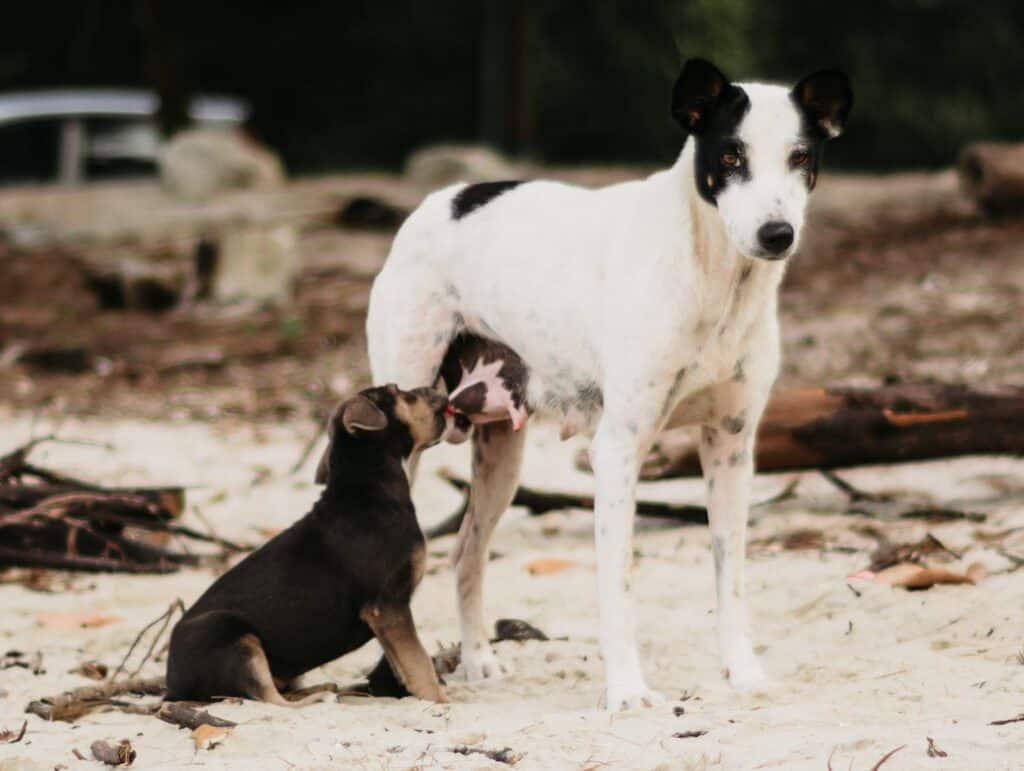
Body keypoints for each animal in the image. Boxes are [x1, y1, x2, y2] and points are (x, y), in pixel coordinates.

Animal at [166, 384, 448, 704]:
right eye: (399, 392)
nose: (432, 388)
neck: (369, 486)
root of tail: (172, 686)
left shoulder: (388, 614)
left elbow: (403, 663)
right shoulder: (388, 605)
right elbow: (419, 661)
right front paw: (442, 700)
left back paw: (320, 689)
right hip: (232, 637)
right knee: (269, 698)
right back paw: (315, 699)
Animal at [364, 58, 851, 708]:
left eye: (800, 156)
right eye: (730, 156)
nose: (777, 234)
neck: (713, 281)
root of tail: (445, 198)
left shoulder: (731, 447)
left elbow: (731, 578)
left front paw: (741, 670)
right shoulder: (619, 451)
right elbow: (618, 589)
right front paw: (626, 691)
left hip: (502, 456)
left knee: (466, 551)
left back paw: (477, 660)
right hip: (405, 436)